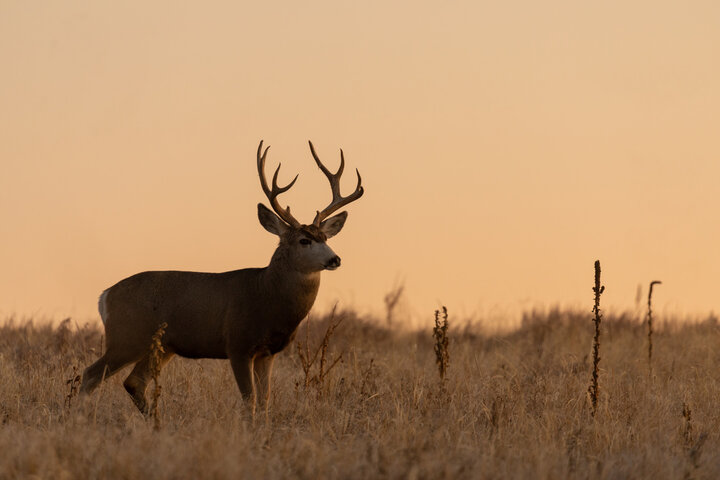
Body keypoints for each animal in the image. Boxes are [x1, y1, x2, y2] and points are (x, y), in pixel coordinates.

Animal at [80, 140, 364, 416]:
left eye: (325, 237)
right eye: (305, 240)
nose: (335, 259)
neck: (267, 294)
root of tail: (105, 296)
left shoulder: (267, 352)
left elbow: (264, 401)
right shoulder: (237, 344)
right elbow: (249, 400)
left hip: (162, 346)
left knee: (133, 382)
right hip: (126, 337)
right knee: (90, 375)